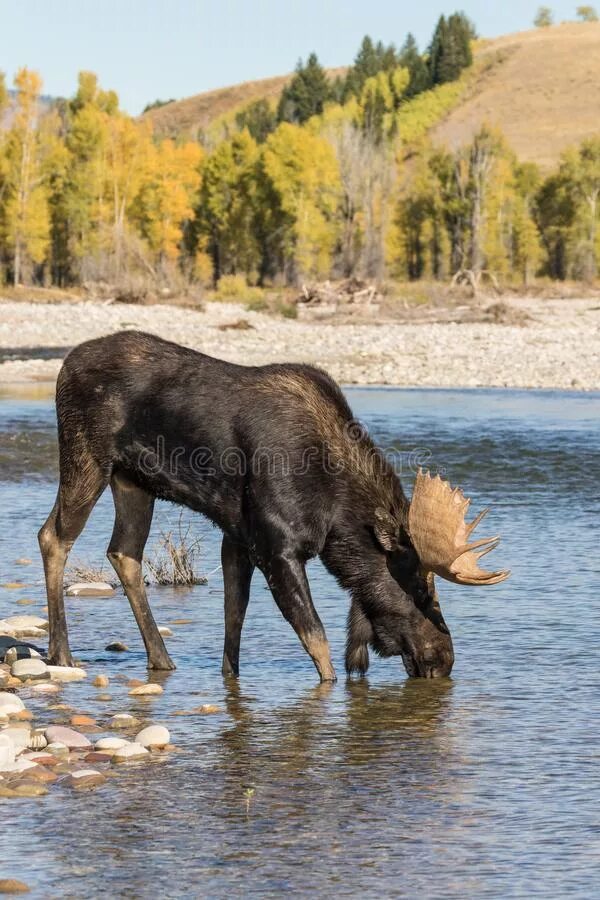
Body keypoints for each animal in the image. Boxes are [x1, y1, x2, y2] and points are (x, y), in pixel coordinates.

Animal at [37, 332, 508, 684]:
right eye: (424, 590)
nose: (445, 659)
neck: (335, 515)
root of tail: (63, 366)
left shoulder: (237, 537)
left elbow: (234, 620)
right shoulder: (275, 545)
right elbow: (315, 637)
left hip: (133, 481)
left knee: (124, 553)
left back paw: (161, 658)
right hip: (87, 457)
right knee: (53, 536)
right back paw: (62, 653)